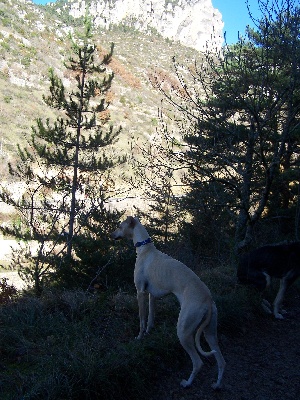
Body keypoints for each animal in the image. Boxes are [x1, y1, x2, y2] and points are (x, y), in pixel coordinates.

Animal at [111, 216, 226, 388]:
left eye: (119, 226)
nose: (111, 235)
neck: (145, 249)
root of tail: (208, 299)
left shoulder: (141, 293)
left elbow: (142, 320)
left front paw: (139, 337)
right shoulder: (152, 295)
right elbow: (150, 318)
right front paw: (148, 333)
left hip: (184, 331)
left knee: (198, 362)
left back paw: (187, 383)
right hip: (210, 332)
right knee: (221, 361)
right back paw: (217, 385)